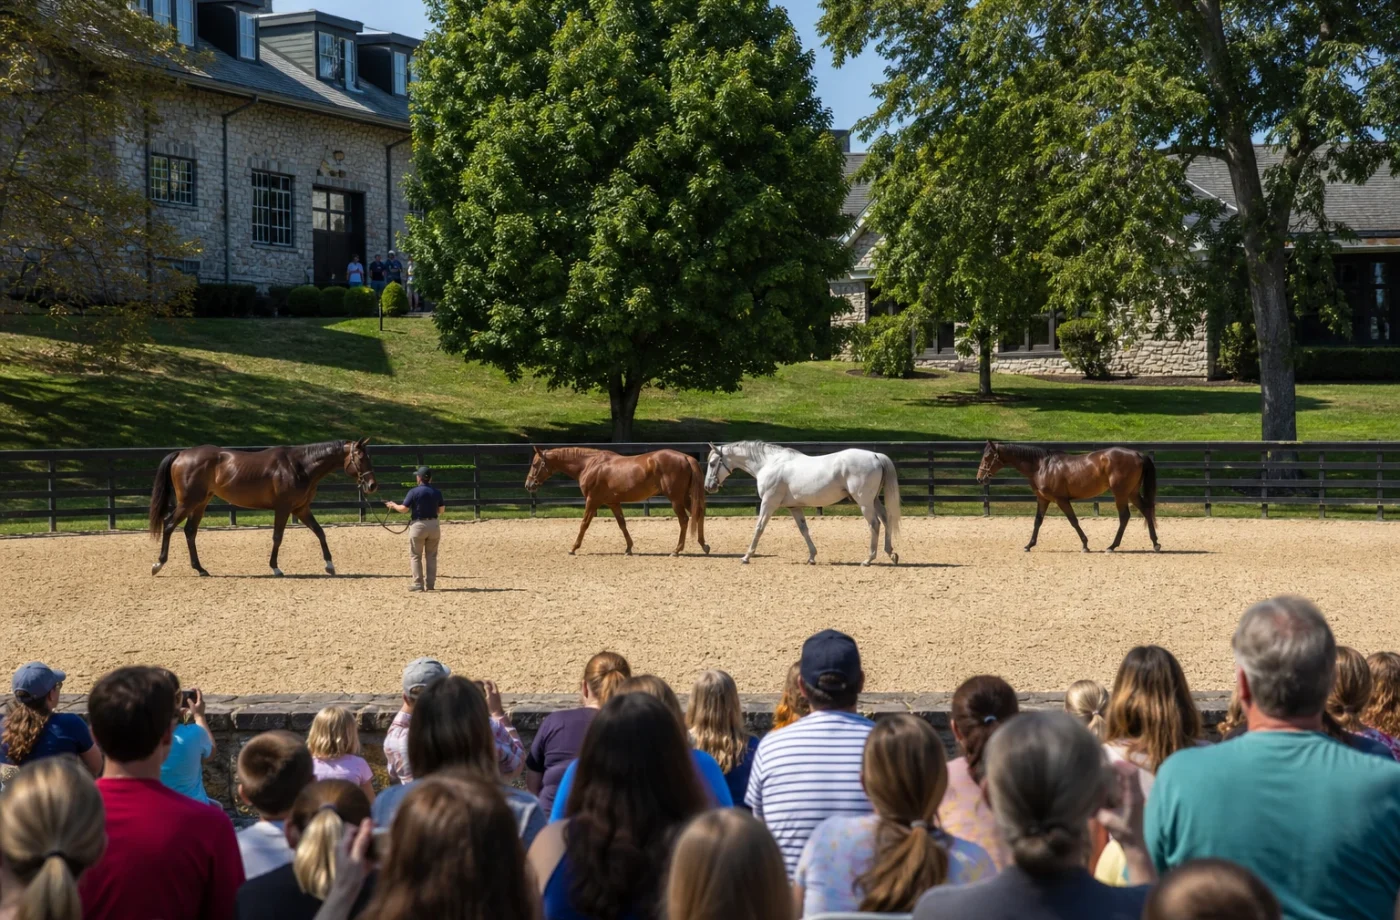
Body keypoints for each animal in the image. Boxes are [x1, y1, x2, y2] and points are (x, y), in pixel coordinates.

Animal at [148, 439, 377, 576]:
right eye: (361, 458)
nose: (372, 485)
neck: (300, 466)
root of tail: (181, 454)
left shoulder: (301, 509)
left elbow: (320, 532)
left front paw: (330, 565)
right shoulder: (283, 509)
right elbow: (277, 537)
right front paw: (275, 568)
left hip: (200, 503)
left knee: (189, 531)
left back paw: (200, 569)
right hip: (188, 502)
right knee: (169, 525)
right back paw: (158, 564)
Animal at [524, 446, 709, 556]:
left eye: (534, 464)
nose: (528, 485)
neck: (589, 465)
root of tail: (685, 457)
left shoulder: (592, 501)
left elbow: (584, 524)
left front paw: (573, 548)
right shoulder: (613, 503)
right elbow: (622, 525)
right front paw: (629, 548)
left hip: (676, 499)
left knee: (684, 520)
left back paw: (677, 550)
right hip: (684, 498)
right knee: (698, 515)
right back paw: (704, 545)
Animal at [704, 441, 901, 566]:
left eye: (713, 463)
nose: (708, 486)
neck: (769, 464)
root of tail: (875, 455)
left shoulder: (768, 503)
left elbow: (759, 528)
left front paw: (746, 556)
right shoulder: (794, 507)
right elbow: (803, 529)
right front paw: (812, 557)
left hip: (864, 502)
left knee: (874, 524)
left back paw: (869, 559)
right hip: (874, 500)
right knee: (886, 519)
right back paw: (891, 553)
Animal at [975, 441, 1159, 553]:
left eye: (987, 456)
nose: (979, 478)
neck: (1042, 466)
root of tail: (1137, 454)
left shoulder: (1061, 500)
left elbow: (1073, 520)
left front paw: (1085, 545)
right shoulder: (1043, 499)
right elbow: (1037, 521)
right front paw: (1029, 545)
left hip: (1120, 493)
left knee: (1124, 516)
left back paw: (1112, 546)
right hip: (1132, 493)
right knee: (1146, 511)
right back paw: (1155, 543)